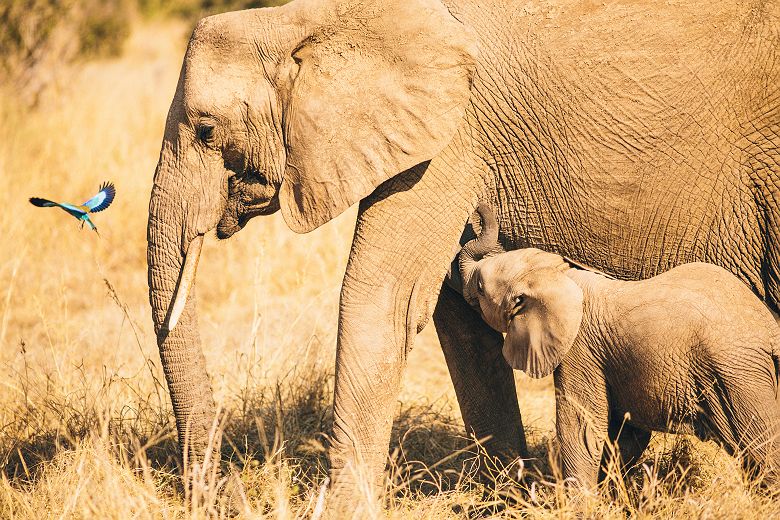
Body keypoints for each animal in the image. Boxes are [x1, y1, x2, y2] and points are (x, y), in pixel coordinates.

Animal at [146, 0, 780, 510]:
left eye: (206, 131)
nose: (226, 491)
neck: (312, 19)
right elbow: (452, 317)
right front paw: (505, 498)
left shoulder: (450, 137)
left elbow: (384, 298)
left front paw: (342, 508)